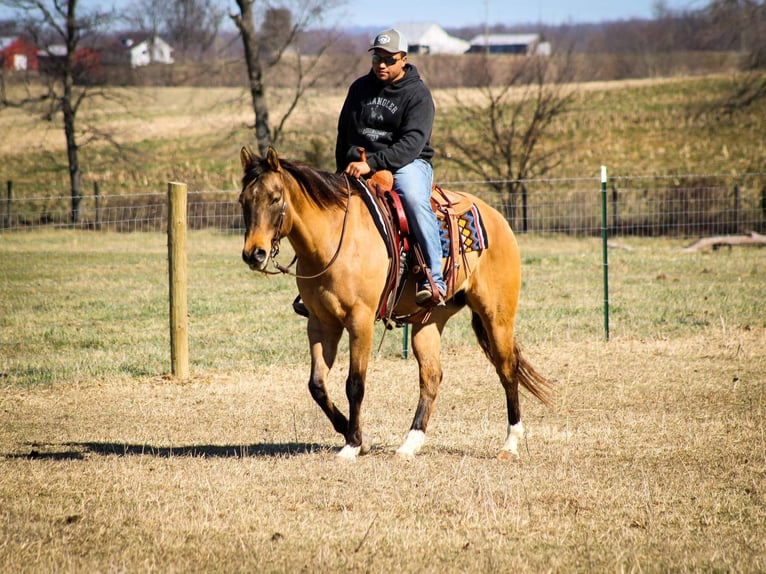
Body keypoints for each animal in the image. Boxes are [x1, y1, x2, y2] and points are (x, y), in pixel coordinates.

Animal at [237, 147, 556, 464]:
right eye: (243, 200)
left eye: (275, 197)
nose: (254, 254)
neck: (333, 239)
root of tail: (497, 218)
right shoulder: (320, 323)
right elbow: (316, 385)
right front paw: (355, 436)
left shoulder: (360, 320)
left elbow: (355, 384)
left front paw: (352, 444)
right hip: (429, 322)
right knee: (431, 376)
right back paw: (410, 444)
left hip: (497, 316)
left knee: (507, 370)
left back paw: (510, 444)